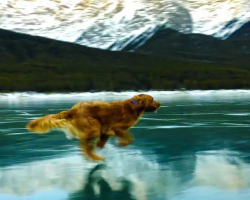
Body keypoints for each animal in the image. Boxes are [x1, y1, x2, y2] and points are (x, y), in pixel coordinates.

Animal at [26, 94, 161, 161]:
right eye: (152, 99)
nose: (160, 104)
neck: (134, 106)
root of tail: (73, 110)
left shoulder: (106, 130)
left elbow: (104, 139)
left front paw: (100, 145)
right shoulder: (117, 128)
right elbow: (128, 139)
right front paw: (121, 144)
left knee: (85, 145)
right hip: (93, 126)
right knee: (84, 145)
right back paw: (95, 157)